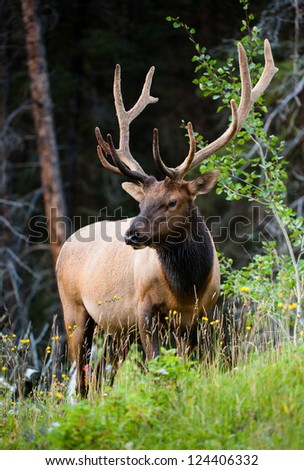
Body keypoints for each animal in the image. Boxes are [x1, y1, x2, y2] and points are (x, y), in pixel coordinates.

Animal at [55, 39, 276, 396]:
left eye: (172, 201)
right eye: (141, 202)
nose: (131, 234)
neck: (185, 288)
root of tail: (66, 246)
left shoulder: (200, 314)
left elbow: (186, 367)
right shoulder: (143, 310)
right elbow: (158, 366)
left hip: (116, 330)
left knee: (101, 375)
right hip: (75, 311)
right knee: (81, 378)